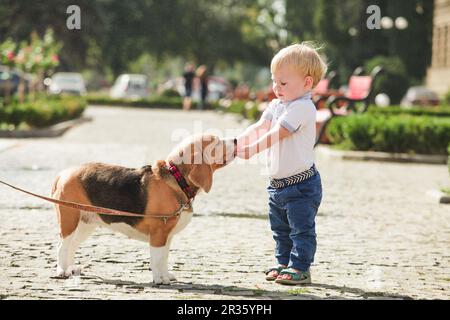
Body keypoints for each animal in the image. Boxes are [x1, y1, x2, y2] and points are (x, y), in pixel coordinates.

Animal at [51, 134, 236, 284]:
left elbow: (164, 257)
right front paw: (160, 279)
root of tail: (64, 173)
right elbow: (157, 258)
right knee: (62, 245)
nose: (235, 139)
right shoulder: (158, 233)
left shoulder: (166, 236)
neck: (177, 178)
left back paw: (71, 268)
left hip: (85, 225)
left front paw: (166, 275)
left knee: (71, 245)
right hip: (70, 220)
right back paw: (62, 271)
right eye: (216, 142)